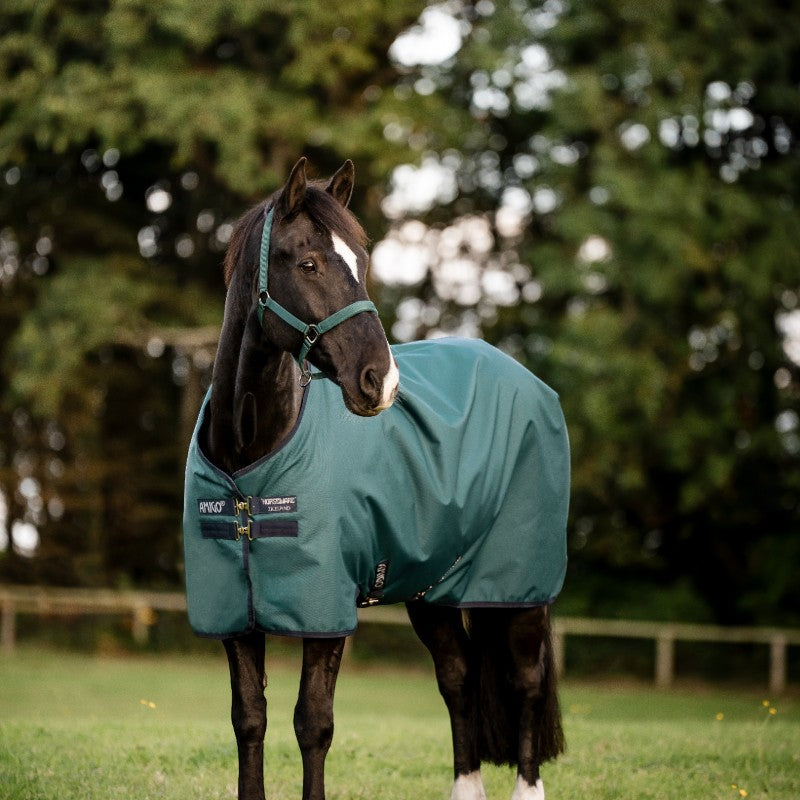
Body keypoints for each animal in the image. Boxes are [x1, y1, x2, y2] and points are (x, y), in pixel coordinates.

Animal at [183, 157, 568, 800]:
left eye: (362, 264)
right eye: (308, 263)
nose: (380, 382)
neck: (250, 465)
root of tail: (528, 380)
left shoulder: (326, 610)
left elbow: (313, 723)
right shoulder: (235, 613)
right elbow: (249, 720)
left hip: (519, 588)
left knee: (527, 683)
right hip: (432, 590)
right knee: (458, 677)